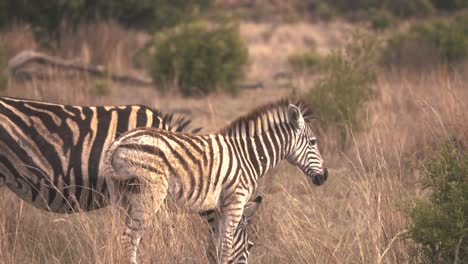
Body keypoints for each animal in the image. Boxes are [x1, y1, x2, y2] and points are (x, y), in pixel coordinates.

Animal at [103, 97, 328, 264]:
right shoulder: (235, 201)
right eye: (313, 142)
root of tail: (119, 141)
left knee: (116, 236)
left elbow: (217, 247)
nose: (325, 176)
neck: (248, 156)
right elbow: (227, 247)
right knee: (129, 238)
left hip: (120, 193)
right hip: (150, 193)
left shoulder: (220, 207)